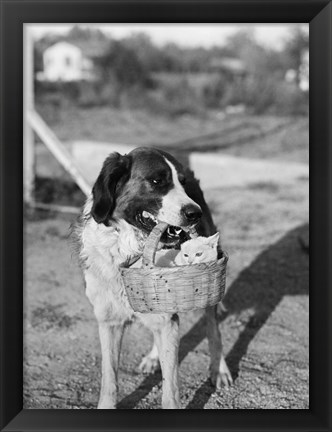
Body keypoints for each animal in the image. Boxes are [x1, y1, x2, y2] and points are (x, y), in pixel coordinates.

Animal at [74, 146, 232, 408]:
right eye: (157, 181)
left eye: (182, 184)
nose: (195, 213)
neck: (129, 249)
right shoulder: (109, 321)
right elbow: (109, 379)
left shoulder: (166, 319)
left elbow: (171, 391)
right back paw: (153, 357)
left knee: (213, 327)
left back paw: (218, 369)